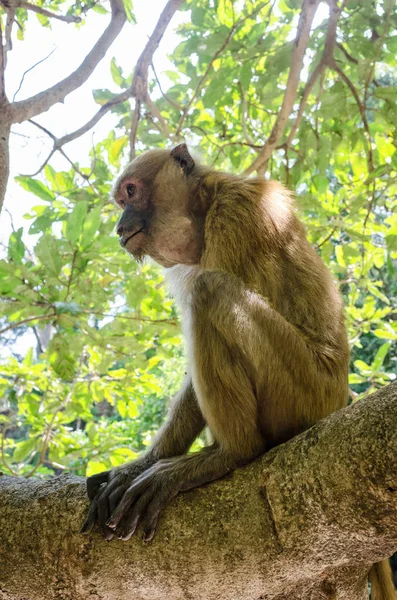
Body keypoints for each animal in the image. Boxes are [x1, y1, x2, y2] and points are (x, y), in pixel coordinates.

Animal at [80, 144, 346, 544]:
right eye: (121, 200)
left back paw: (231, 453)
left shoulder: (234, 216)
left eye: (131, 191)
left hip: (306, 390)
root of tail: (339, 398)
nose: (120, 226)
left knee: (211, 291)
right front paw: (143, 463)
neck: (204, 203)